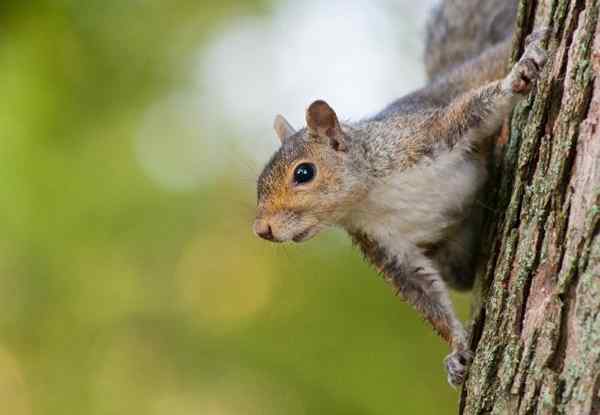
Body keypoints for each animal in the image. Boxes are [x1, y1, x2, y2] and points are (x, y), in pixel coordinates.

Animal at [253, 0, 548, 388]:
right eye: (259, 181)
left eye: (303, 173)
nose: (261, 229)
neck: (370, 196)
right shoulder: (385, 246)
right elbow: (423, 292)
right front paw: (457, 351)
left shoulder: (422, 137)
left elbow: (473, 110)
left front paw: (518, 76)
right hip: (452, 255)